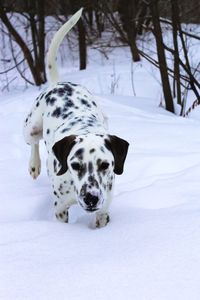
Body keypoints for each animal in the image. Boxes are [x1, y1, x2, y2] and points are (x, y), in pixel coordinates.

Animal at [23, 8, 130, 227]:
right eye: (74, 165)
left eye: (105, 165)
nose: (91, 198)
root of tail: (59, 82)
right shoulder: (60, 209)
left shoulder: (103, 209)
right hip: (31, 127)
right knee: (33, 143)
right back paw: (34, 165)